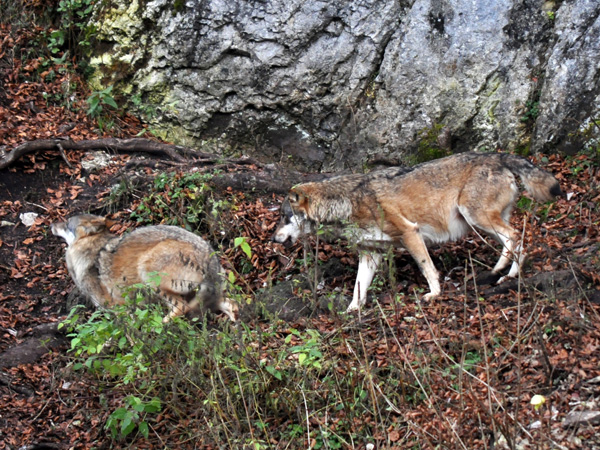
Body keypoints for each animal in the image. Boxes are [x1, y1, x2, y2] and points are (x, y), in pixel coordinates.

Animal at [52, 214, 237, 322]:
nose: (51, 224)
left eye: (66, 223)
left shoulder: (118, 308)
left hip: (148, 272)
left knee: (181, 307)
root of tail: (209, 258)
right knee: (232, 305)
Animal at [272, 152, 562, 312]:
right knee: (518, 242)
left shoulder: (411, 233)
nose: (273, 239)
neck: (348, 203)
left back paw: (498, 270)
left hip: (476, 219)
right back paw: (509, 276)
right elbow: (358, 287)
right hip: (482, 226)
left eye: (284, 217)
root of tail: (498, 155)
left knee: (514, 237)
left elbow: (427, 268)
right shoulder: (371, 253)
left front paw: (435, 294)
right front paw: (352, 310)